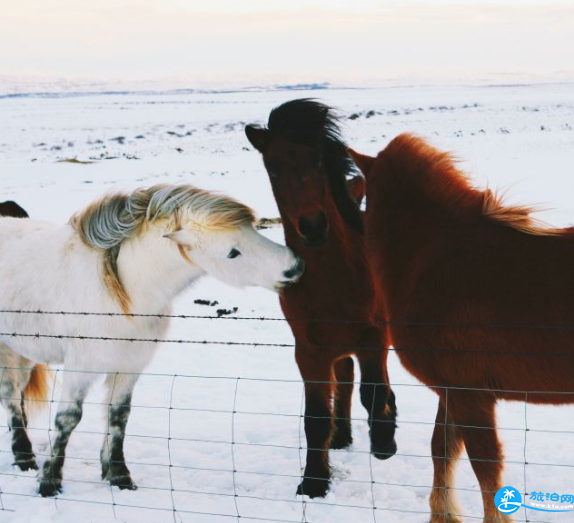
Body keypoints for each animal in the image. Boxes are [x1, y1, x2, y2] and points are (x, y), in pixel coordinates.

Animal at [0, 185, 306, 500]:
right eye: (233, 252)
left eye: (253, 231)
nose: (294, 267)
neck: (123, 292)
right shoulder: (81, 368)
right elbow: (68, 419)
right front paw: (49, 482)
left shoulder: (129, 366)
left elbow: (118, 417)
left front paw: (119, 476)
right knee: (10, 395)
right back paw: (24, 457)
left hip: (23, 350)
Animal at [354, 133, 574, 520]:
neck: (433, 258)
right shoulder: (451, 391)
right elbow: (442, 449)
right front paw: (443, 513)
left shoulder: (470, 394)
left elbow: (486, 468)